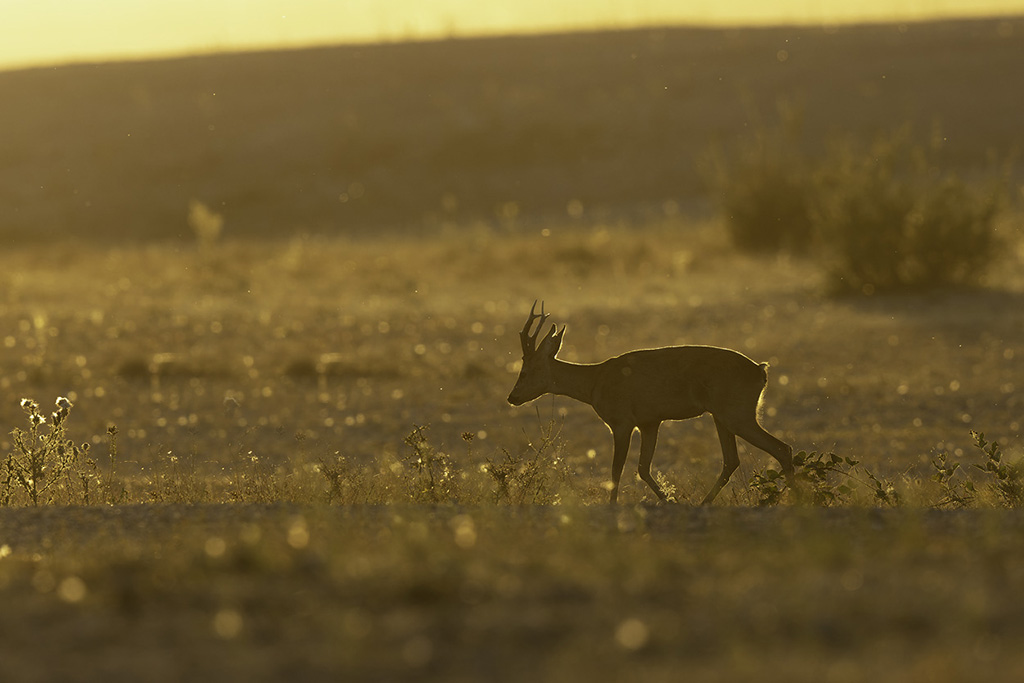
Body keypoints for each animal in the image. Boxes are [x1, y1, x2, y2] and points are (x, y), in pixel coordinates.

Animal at [507, 301, 794, 505]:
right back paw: (706, 503)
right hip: (722, 415)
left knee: (782, 448)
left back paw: (792, 498)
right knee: (732, 460)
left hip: (737, 412)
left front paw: (614, 505)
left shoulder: (621, 421)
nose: (512, 397)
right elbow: (643, 468)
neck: (595, 383)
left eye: (526, 371)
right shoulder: (650, 422)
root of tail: (761, 371)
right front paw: (670, 501)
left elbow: (617, 470)